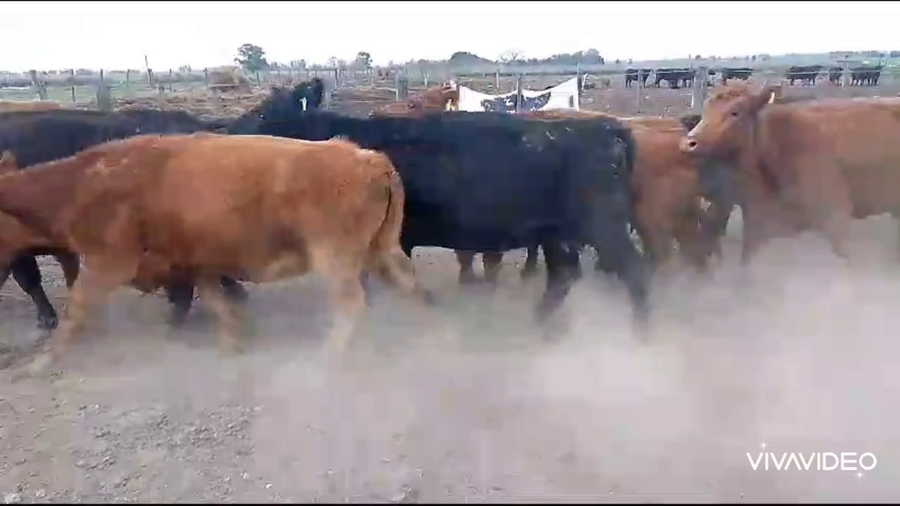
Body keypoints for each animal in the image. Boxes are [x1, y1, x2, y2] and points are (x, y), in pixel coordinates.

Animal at [0, 133, 435, 367]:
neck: (82, 183)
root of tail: (367, 157)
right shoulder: (197, 262)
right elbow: (215, 299)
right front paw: (231, 341)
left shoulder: (110, 262)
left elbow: (77, 308)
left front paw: (43, 361)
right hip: (381, 250)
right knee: (410, 287)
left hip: (335, 260)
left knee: (351, 306)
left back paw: (328, 356)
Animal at [227, 79, 651, 325]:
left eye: (263, 113)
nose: (226, 131)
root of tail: (608, 127)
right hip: (556, 233)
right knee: (564, 275)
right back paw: (541, 324)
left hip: (603, 225)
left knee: (632, 271)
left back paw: (641, 333)